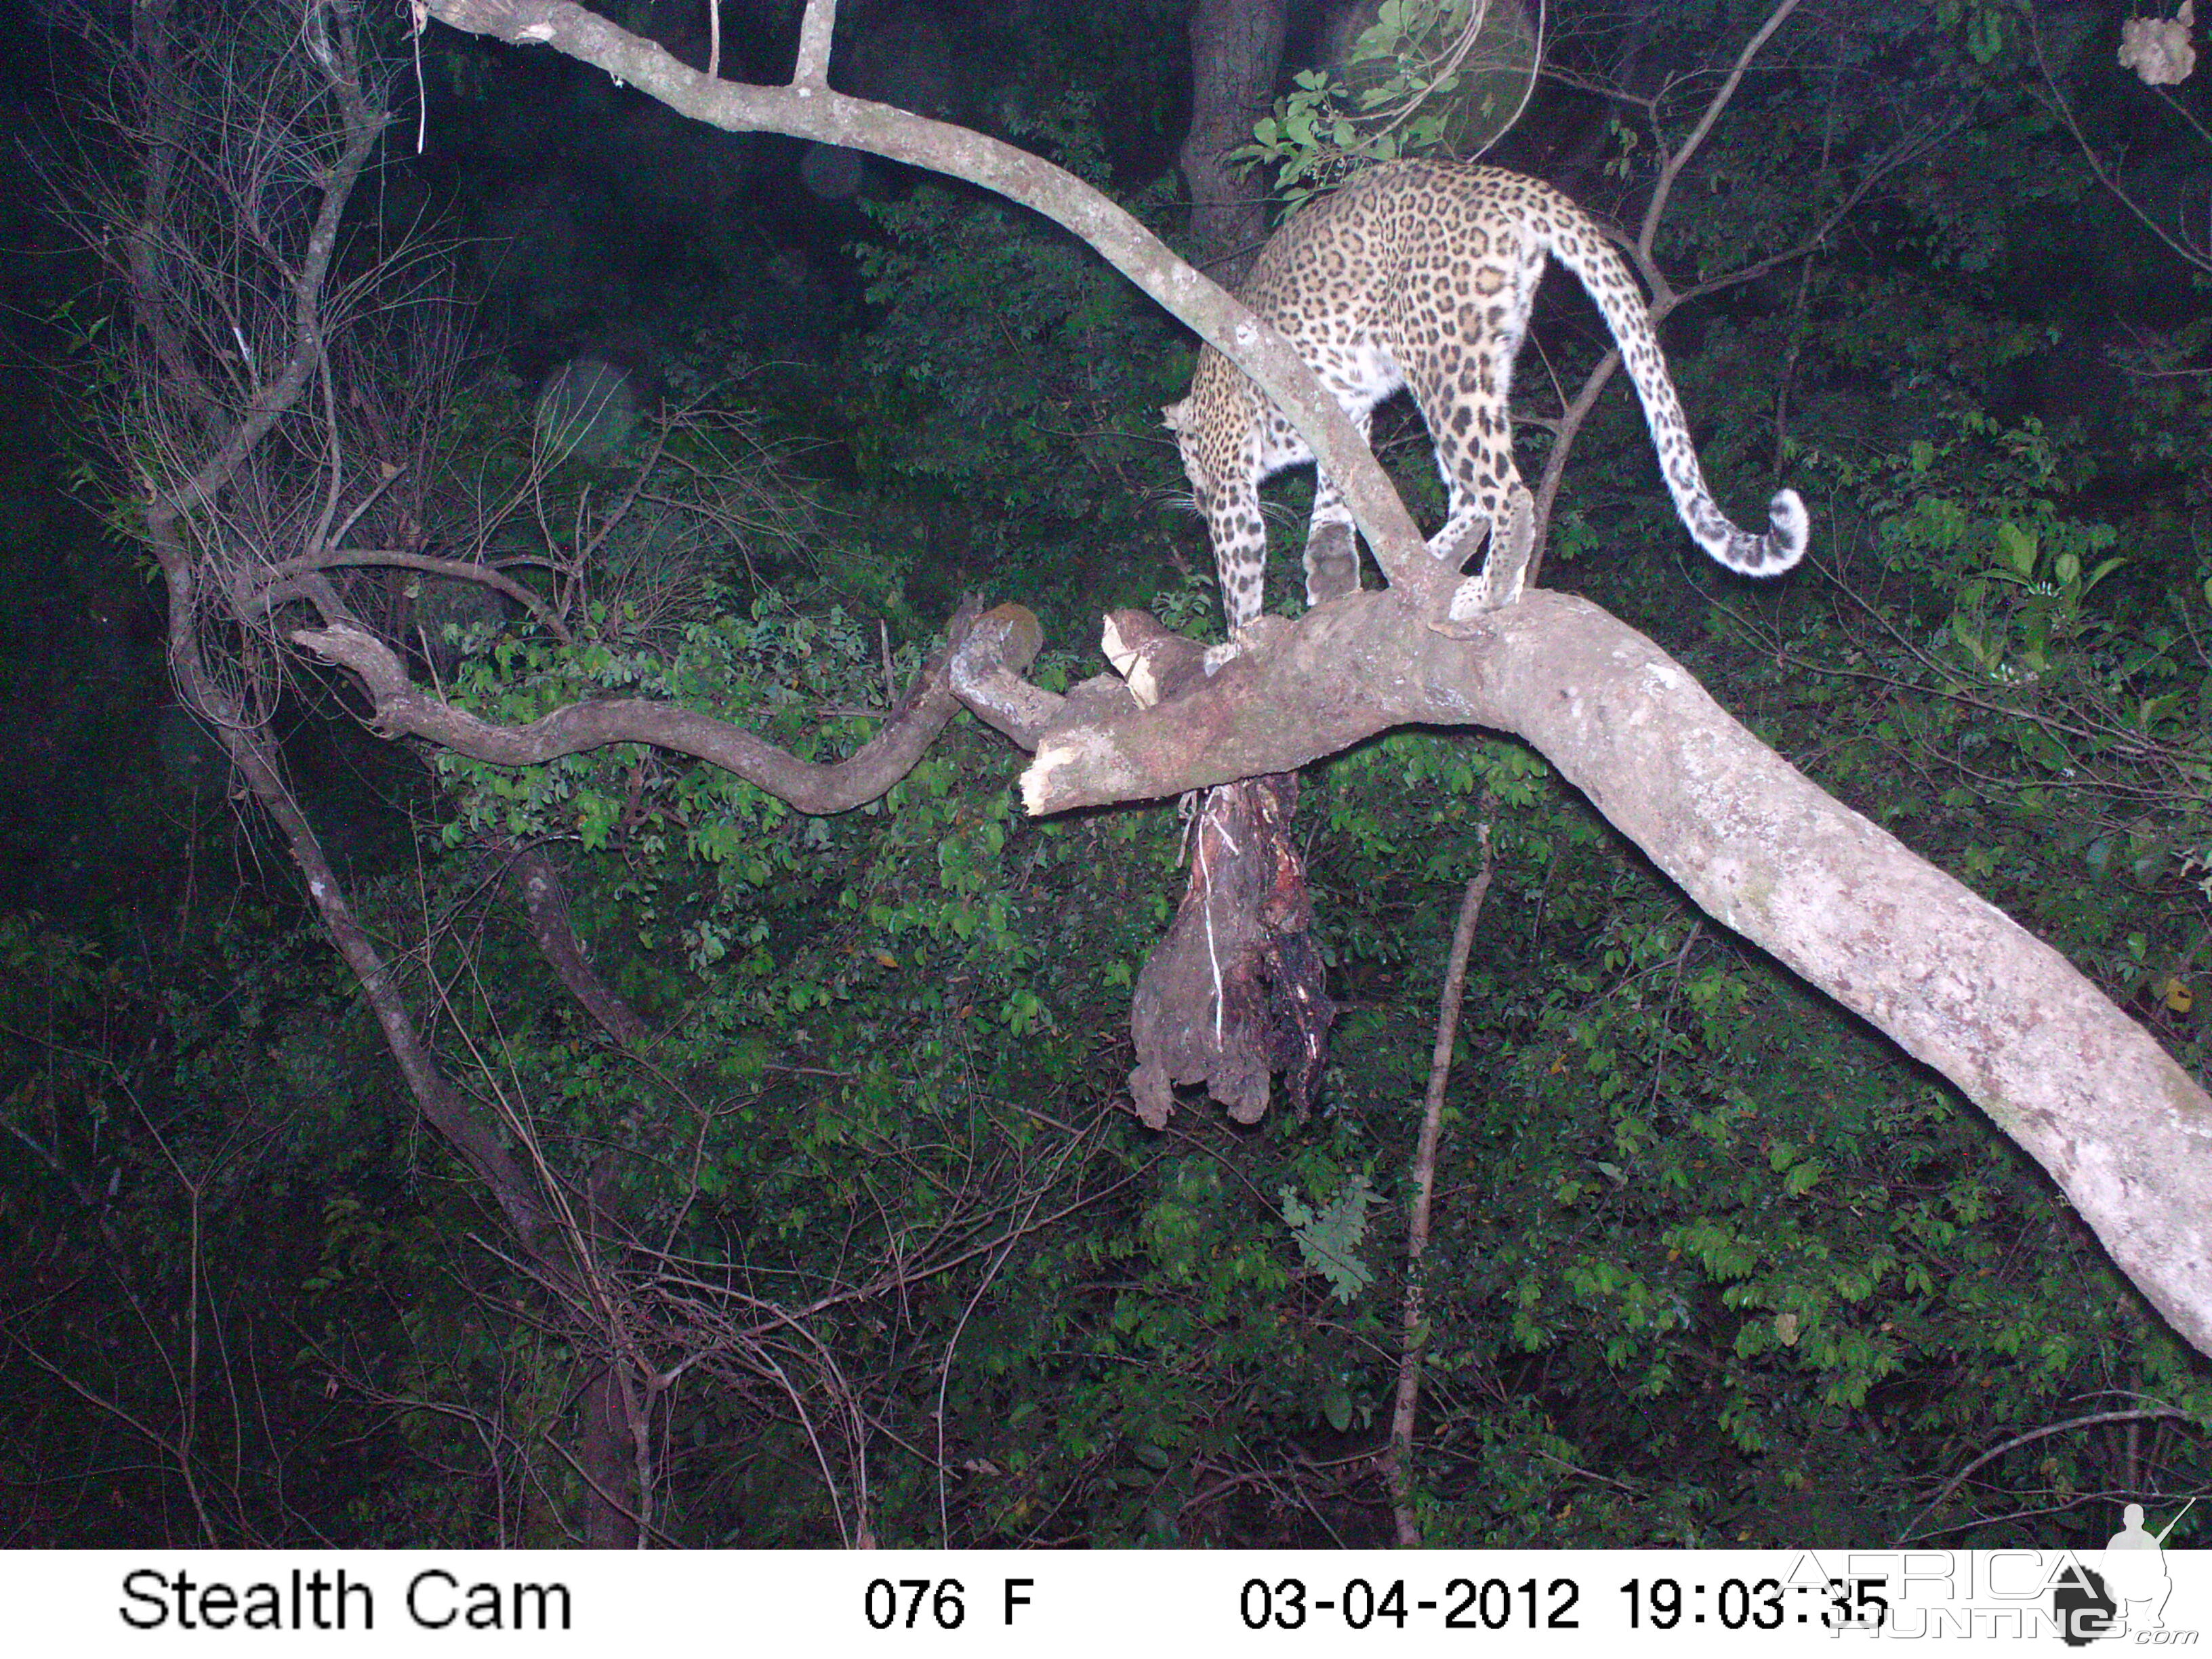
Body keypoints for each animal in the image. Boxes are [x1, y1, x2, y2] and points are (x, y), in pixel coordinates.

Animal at [1168, 159, 1805, 632]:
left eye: (1188, 463)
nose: (1194, 500)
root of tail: (1494, 179)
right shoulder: (1340, 410)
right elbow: (1334, 491)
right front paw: (1331, 576)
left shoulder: (1232, 480)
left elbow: (1238, 563)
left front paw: (1236, 644)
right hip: (1485, 356)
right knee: (1476, 492)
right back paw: (1446, 563)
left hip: (1441, 358)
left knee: (1505, 490)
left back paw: (1491, 591)